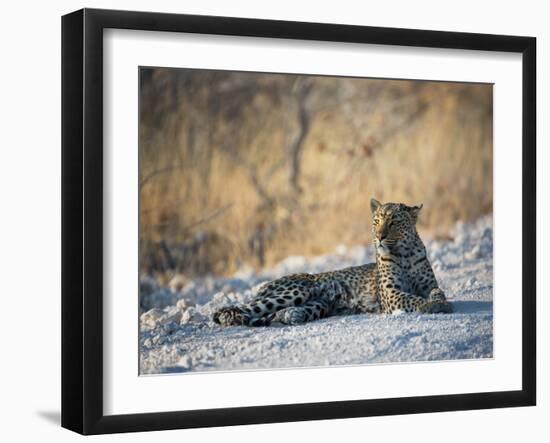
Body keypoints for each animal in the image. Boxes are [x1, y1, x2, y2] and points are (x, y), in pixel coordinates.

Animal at [211, 198, 452, 326]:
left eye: (394, 222)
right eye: (376, 221)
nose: (379, 236)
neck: (405, 253)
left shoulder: (428, 284)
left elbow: (438, 291)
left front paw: (441, 302)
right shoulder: (391, 293)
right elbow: (412, 298)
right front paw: (430, 305)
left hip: (319, 304)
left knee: (276, 313)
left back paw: (291, 315)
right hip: (295, 291)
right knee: (239, 308)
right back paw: (230, 317)